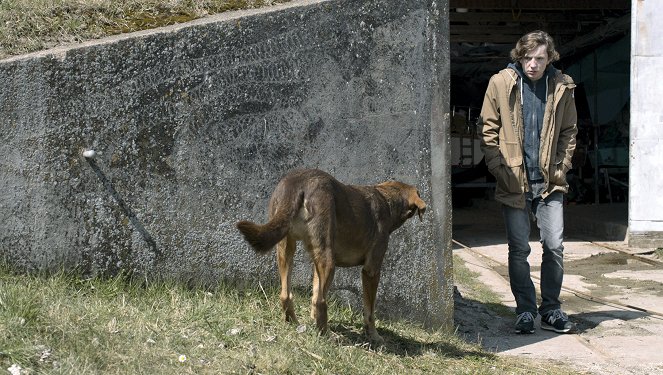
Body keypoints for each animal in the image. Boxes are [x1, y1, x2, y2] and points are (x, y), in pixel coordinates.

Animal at [236, 169, 428, 346]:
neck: (387, 199)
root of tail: (298, 182)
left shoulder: (315, 263)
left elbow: (315, 291)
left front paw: (314, 320)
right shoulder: (371, 270)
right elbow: (369, 311)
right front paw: (374, 336)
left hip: (286, 248)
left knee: (286, 295)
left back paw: (295, 324)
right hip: (328, 259)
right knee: (321, 301)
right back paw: (327, 336)